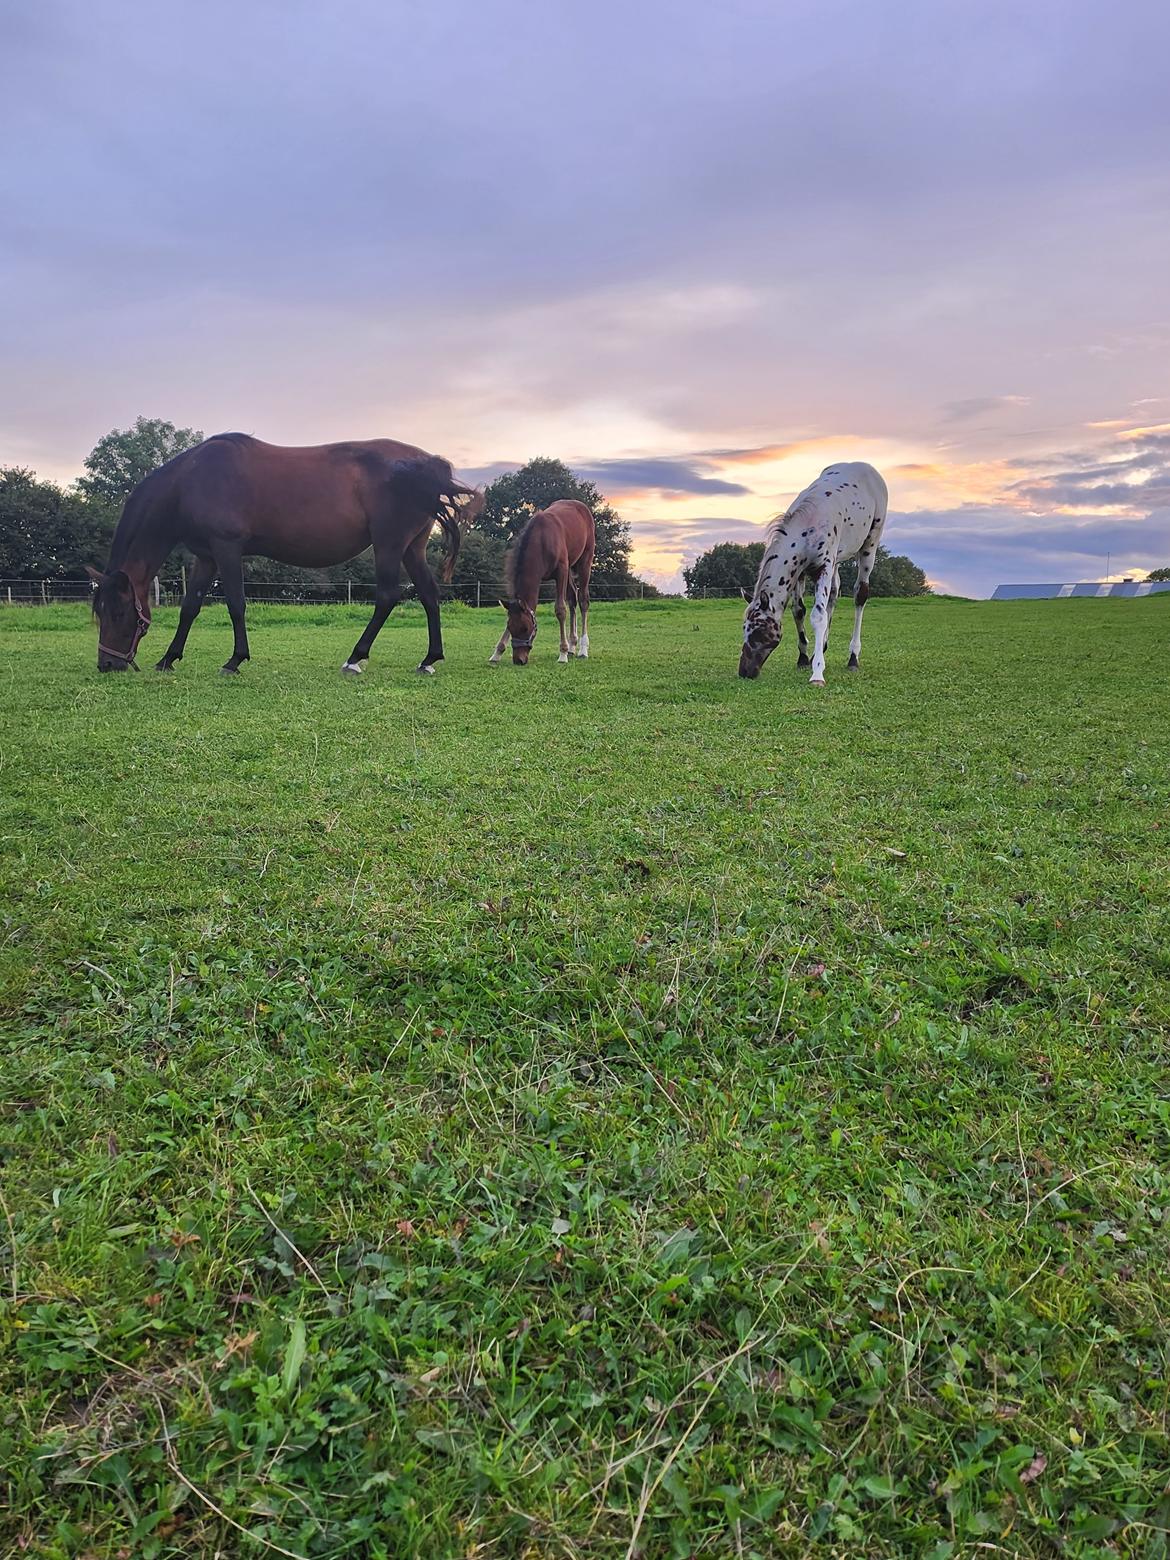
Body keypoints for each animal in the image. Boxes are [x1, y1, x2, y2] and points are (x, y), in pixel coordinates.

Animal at [84, 439, 483, 683]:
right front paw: (168, 658)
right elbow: (189, 607)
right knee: (429, 595)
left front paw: (234, 660)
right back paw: (429, 660)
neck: (190, 481)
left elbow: (236, 604)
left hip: (389, 544)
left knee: (387, 597)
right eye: (99, 612)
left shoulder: (226, 548)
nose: (107, 664)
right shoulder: (206, 556)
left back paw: (355, 658)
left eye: (118, 612)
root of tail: (430, 464)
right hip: (412, 548)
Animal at [489, 502, 595, 667]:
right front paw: (497, 652)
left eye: (526, 628)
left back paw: (582, 649)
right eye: (510, 627)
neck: (541, 539)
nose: (519, 660)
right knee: (573, 598)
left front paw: (563, 653)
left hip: (585, 561)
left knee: (583, 600)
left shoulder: (561, 571)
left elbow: (560, 610)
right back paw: (573, 645)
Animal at [742, 458, 886, 686]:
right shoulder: (799, 572)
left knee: (860, 595)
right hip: (837, 561)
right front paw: (803, 658)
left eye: (760, 632)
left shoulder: (823, 567)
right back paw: (822, 649)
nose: (744, 671)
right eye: (744, 628)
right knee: (834, 595)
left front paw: (817, 673)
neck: (806, 528)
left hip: (869, 547)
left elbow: (818, 616)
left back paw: (853, 658)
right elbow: (799, 611)